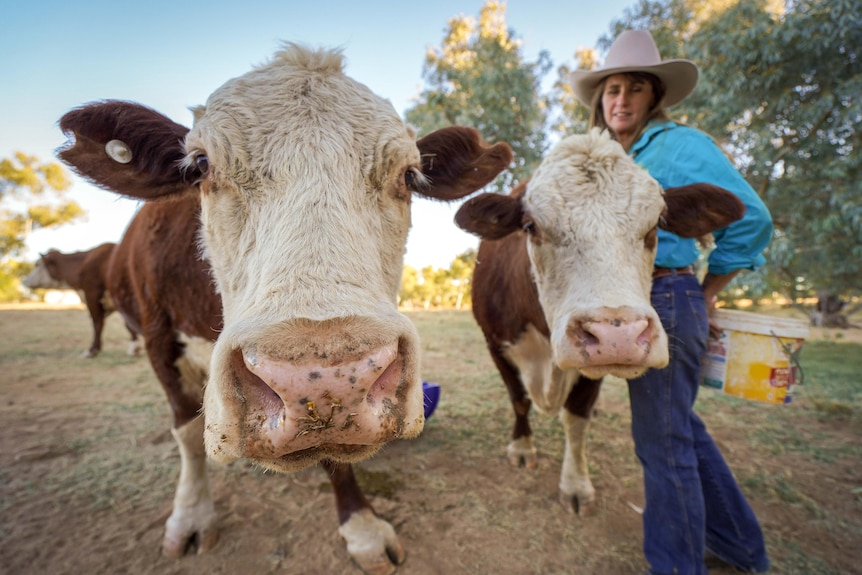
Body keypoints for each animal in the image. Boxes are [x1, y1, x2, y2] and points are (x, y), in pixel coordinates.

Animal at [59, 41, 512, 575]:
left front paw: (361, 527)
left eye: (409, 174)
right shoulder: (157, 338)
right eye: (201, 166)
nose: (322, 377)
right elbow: (187, 435)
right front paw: (190, 515)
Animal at [456, 132, 744, 516]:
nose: (616, 335)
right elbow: (518, 400)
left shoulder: (595, 372)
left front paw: (576, 484)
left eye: (655, 227)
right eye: (531, 227)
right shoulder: (495, 344)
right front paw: (522, 447)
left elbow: (576, 420)